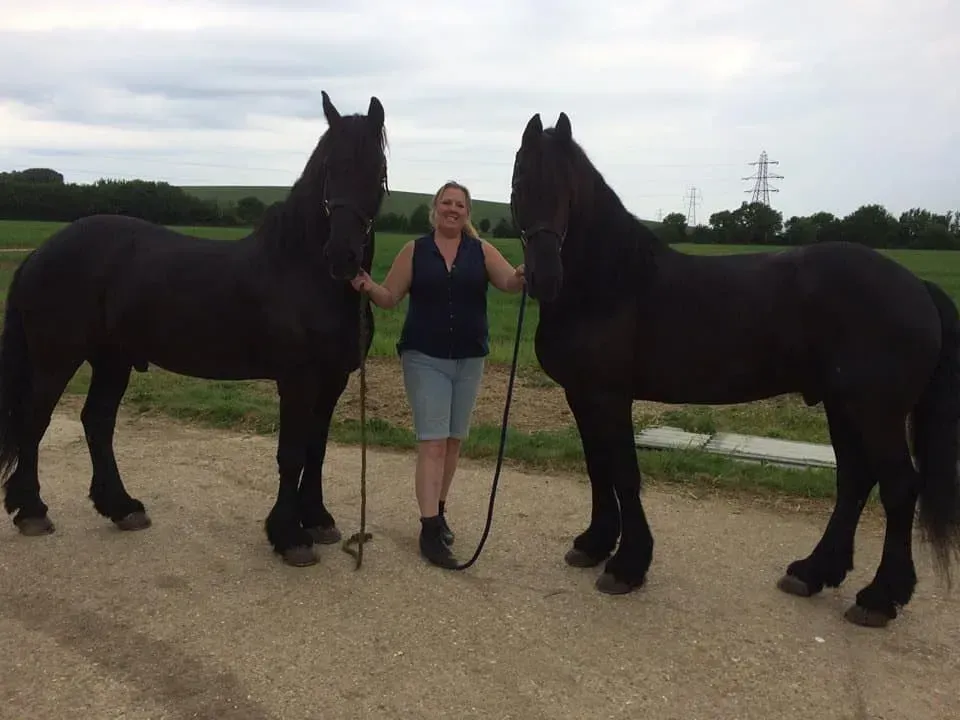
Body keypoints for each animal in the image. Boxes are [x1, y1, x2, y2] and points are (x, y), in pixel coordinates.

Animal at [0, 91, 388, 568]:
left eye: (378, 170)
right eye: (331, 168)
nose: (342, 256)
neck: (302, 271)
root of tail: (40, 252)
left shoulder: (333, 379)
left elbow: (316, 449)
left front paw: (317, 519)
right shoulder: (297, 379)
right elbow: (292, 453)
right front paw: (289, 536)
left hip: (112, 360)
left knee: (97, 421)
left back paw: (121, 507)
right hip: (56, 359)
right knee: (34, 421)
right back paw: (32, 511)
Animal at [508, 111, 960, 628]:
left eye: (567, 190)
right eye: (519, 183)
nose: (544, 278)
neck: (610, 283)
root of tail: (917, 285)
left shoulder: (609, 396)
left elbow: (624, 473)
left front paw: (627, 566)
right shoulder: (581, 395)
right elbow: (597, 468)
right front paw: (593, 545)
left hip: (875, 411)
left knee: (899, 488)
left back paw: (879, 598)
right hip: (842, 404)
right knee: (854, 480)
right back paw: (813, 572)